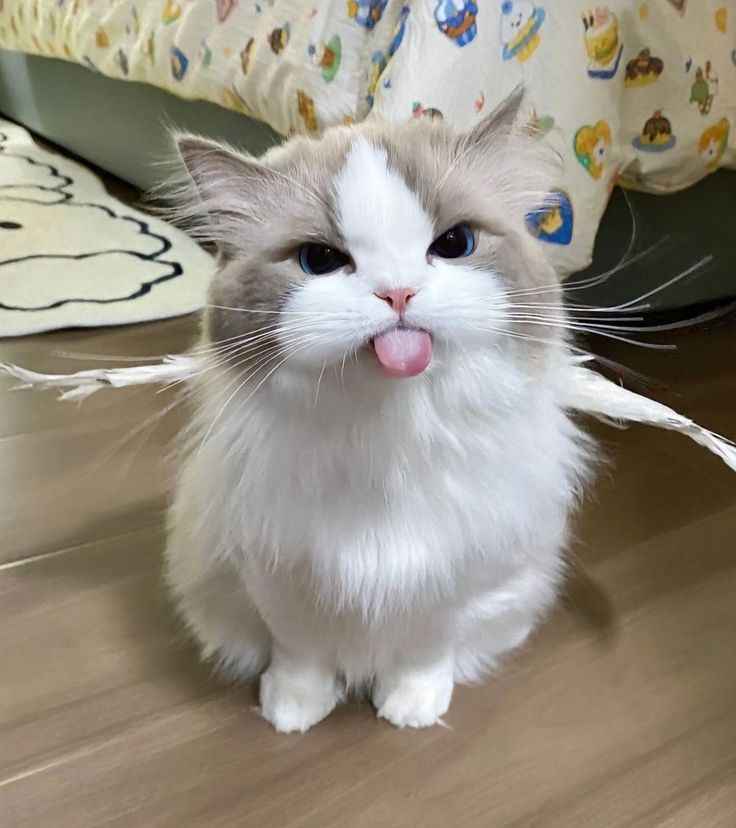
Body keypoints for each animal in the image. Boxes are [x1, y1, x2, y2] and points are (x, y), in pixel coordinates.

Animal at [164, 88, 593, 733]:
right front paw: (291, 711)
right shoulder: (278, 574)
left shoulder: (452, 576)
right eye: (319, 260)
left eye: (454, 245)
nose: (397, 293)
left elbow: (425, 649)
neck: (391, 435)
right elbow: (300, 653)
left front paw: (410, 709)